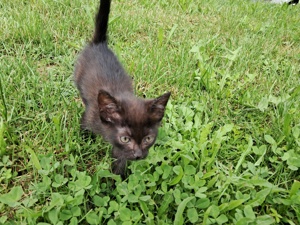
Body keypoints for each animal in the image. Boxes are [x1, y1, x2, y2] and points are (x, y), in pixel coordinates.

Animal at [74, 0, 170, 179]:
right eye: (125, 139)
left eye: (148, 139)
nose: (138, 155)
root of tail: (99, 43)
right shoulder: (90, 117)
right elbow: (84, 130)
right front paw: (83, 144)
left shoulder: (122, 152)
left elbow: (119, 163)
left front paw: (117, 180)